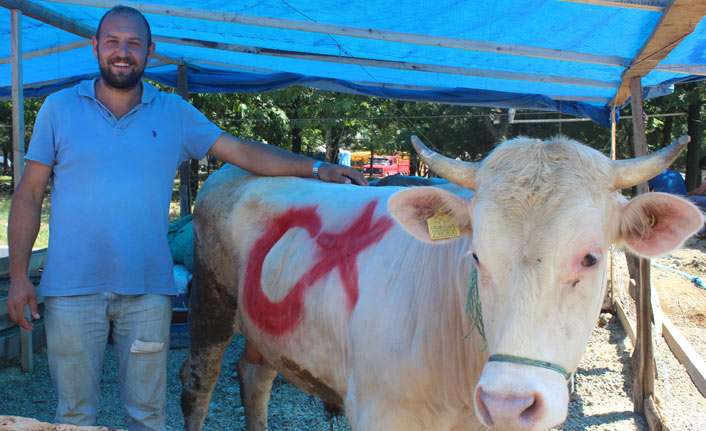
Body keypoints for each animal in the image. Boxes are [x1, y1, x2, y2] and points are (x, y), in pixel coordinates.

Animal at [180, 135, 700, 431]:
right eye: (476, 255)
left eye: (591, 257)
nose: (508, 402)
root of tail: (227, 171)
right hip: (210, 303)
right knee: (198, 386)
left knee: (255, 376)